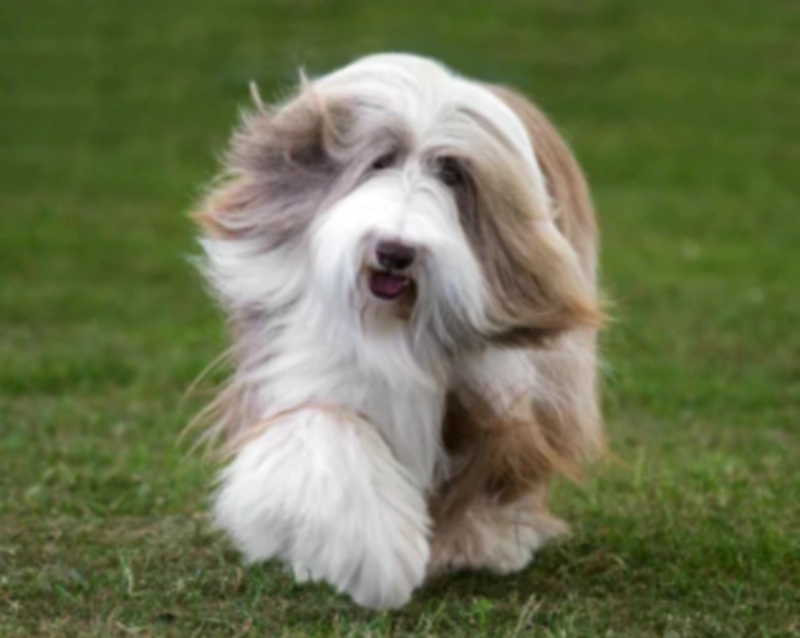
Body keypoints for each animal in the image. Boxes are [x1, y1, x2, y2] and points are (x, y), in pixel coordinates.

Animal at [194, 53, 604, 608]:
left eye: (451, 173)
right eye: (380, 161)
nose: (395, 251)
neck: (396, 324)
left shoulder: (496, 387)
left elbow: (491, 459)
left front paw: (475, 540)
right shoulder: (304, 366)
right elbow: (327, 432)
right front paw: (375, 559)